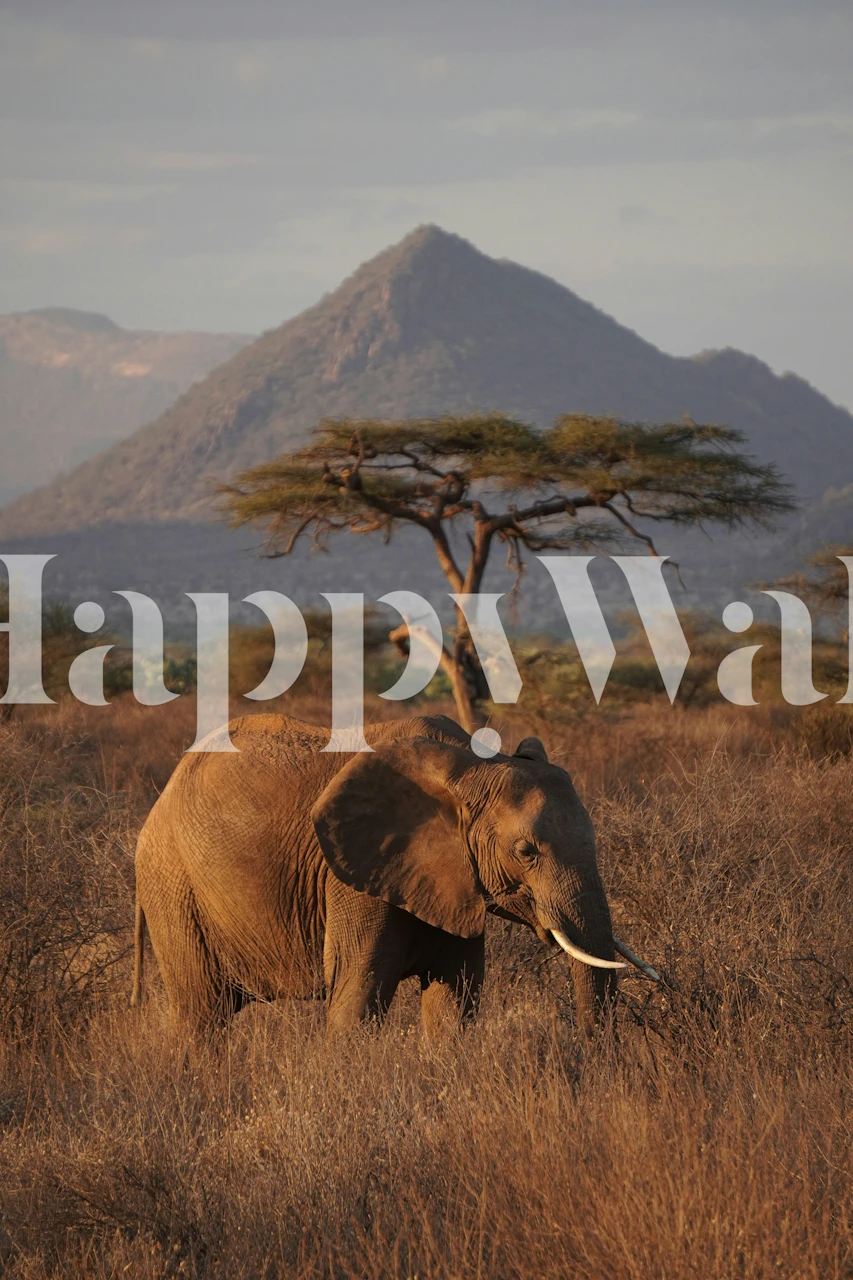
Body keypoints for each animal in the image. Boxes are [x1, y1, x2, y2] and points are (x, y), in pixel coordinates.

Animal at [132, 712, 657, 1038]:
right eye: (525, 852)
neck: (470, 767)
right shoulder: (352, 876)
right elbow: (359, 991)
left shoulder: (455, 879)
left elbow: (456, 997)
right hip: (173, 887)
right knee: (202, 1015)